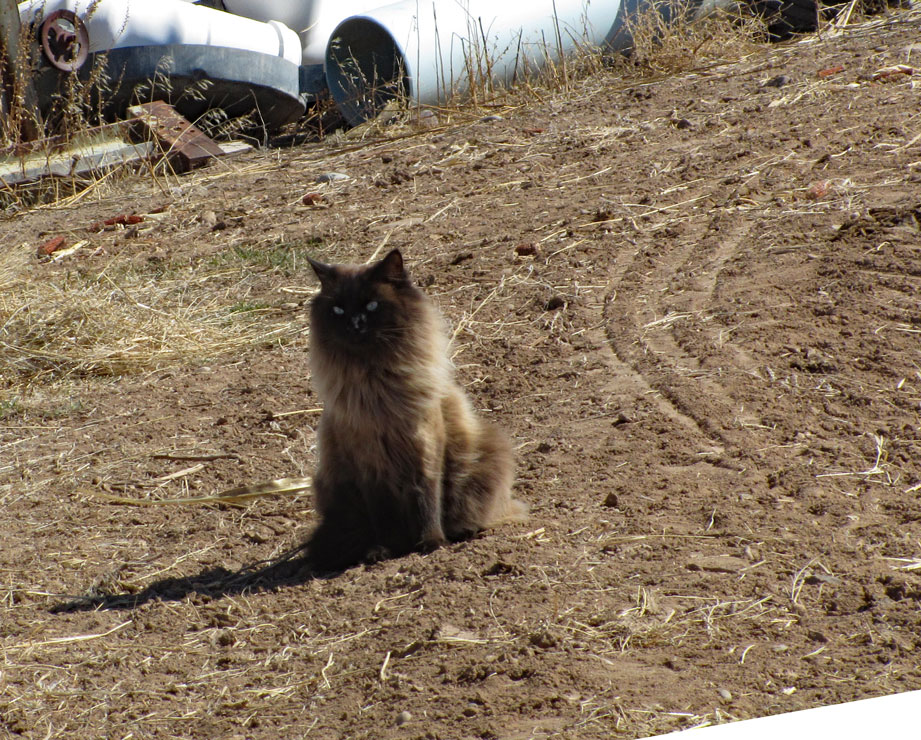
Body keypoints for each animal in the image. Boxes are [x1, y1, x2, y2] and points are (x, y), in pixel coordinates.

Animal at [303, 248, 526, 571]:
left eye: (372, 305)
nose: (354, 325)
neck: (377, 387)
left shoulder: (424, 449)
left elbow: (427, 502)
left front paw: (431, 543)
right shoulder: (370, 465)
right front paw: (387, 550)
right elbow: (383, 516)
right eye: (338, 311)